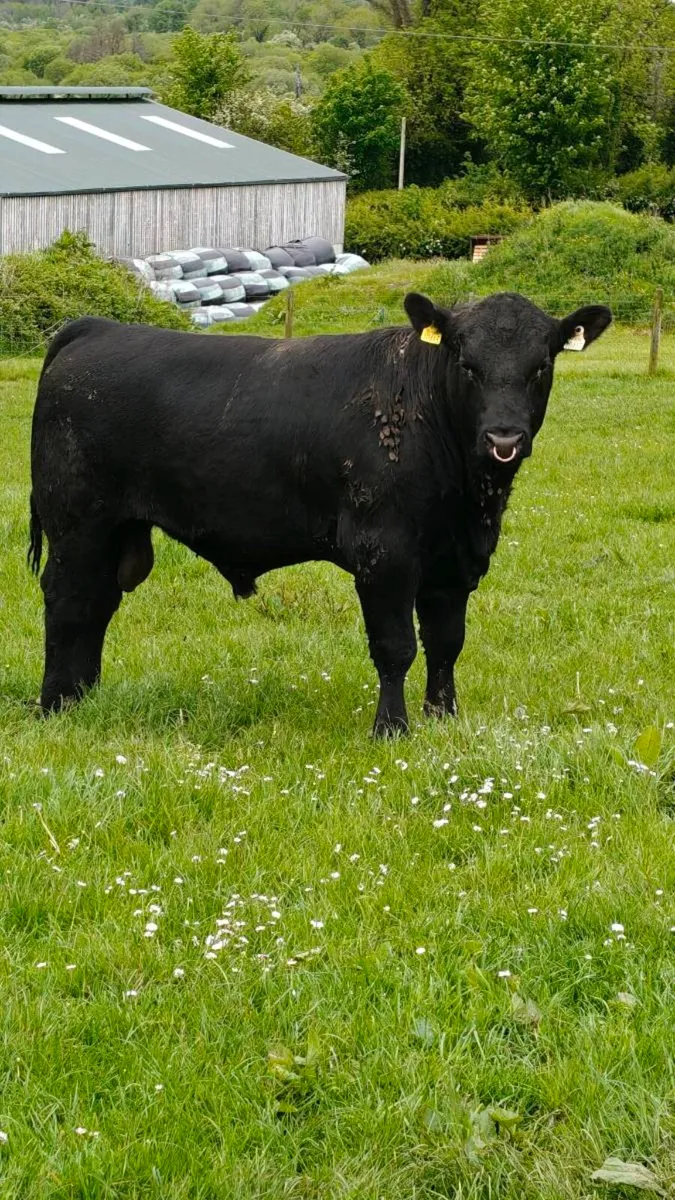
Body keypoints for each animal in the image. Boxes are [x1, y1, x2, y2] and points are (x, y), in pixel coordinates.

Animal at [28, 292, 611, 736]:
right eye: (468, 366)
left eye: (541, 366)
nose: (503, 439)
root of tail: (96, 329)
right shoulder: (385, 554)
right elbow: (396, 647)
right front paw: (391, 729)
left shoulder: (454, 562)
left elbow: (447, 643)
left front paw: (443, 718)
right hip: (77, 523)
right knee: (68, 603)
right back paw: (56, 705)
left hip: (114, 531)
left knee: (97, 603)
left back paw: (84, 695)